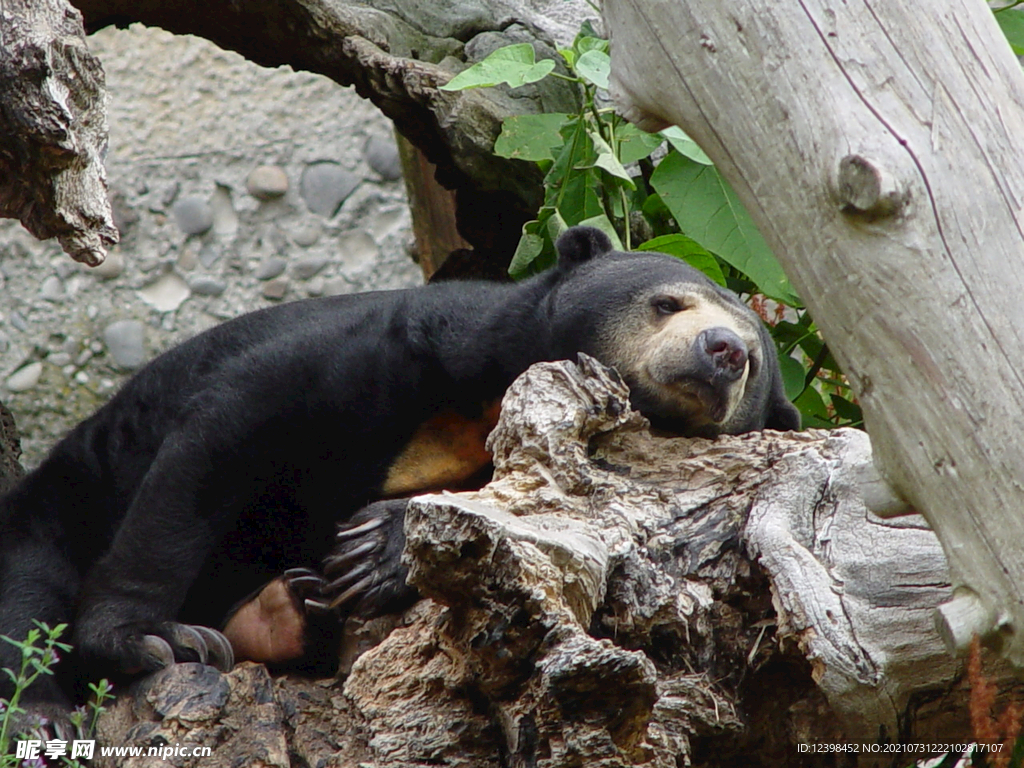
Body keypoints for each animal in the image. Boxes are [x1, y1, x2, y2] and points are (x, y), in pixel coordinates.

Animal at [0, 224, 794, 720]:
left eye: (755, 359)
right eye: (666, 303)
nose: (723, 350)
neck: (484, 406)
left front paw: (372, 553)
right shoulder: (395, 348)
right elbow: (221, 439)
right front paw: (152, 638)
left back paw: (285, 612)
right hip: (65, 495)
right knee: (28, 584)